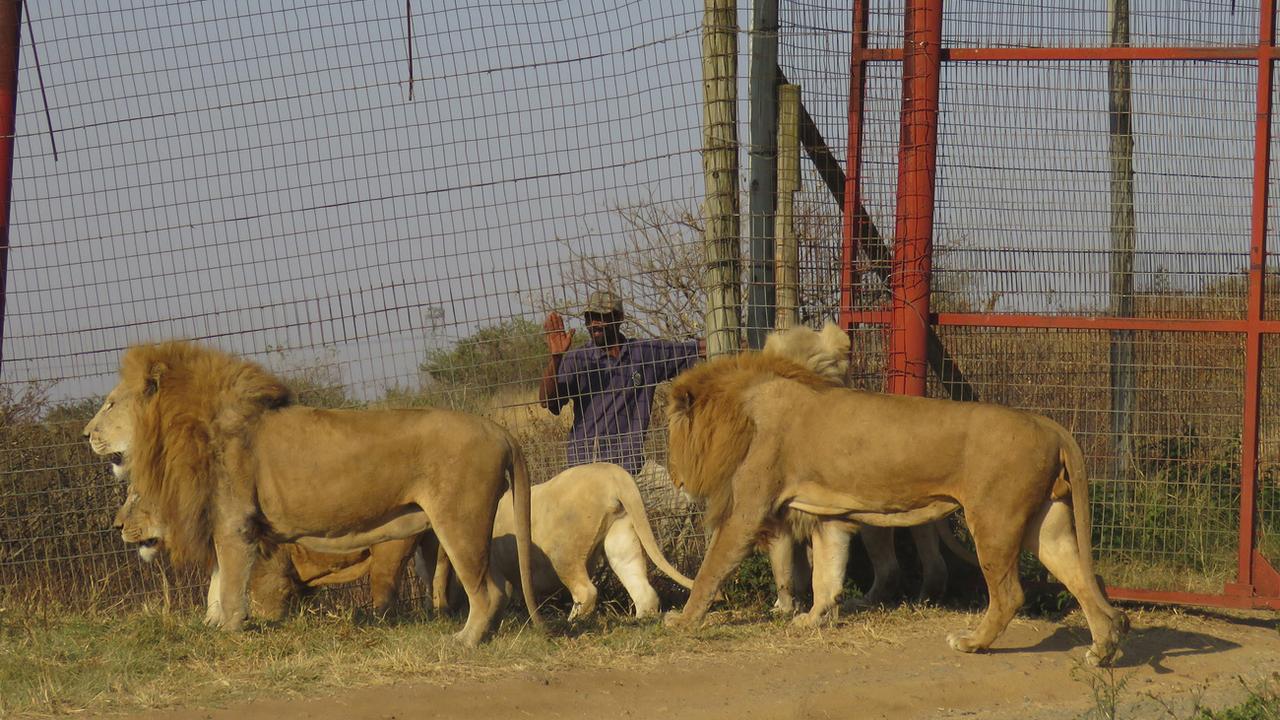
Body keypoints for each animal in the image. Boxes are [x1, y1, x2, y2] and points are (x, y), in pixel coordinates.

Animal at [83, 338, 545, 640]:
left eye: (110, 404)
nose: (86, 434)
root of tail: (499, 430)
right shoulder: (224, 523)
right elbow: (215, 582)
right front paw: (209, 626)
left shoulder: (235, 523)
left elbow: (230, 585)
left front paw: (227, 633)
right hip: (459, 530)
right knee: (495, 586)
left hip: (459, 521)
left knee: (489, 591)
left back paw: (464, 642)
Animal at [665, 351, 1126, 666]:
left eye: (671, 434)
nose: (676, 480)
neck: (746, 409)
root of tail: (1048, 424)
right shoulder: (830, 517)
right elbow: (826, 575)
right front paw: (813, 620)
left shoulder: (748, 511)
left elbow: (710, 570)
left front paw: (683, 623)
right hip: (1045, 525)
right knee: (1081, 581)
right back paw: (1103, 649)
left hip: (994, 520)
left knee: (1010, 594)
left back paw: (972, 643)